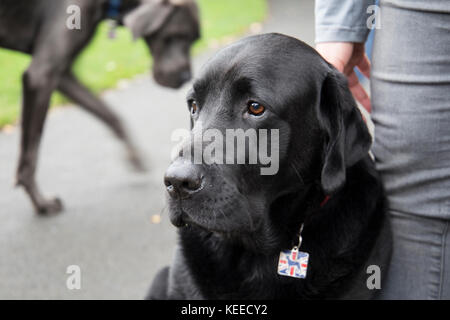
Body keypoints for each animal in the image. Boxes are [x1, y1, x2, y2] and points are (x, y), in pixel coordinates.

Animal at [0, 0, 199, 215]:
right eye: (178, 35)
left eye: (194, 40)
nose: (186, 77)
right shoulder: (41, 75)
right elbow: (31, 152)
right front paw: (41, 203)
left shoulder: (62, 75)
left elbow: (110, 115)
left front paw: (134, 156)